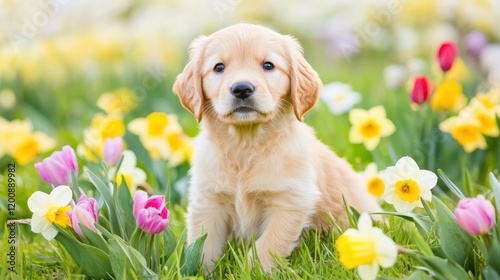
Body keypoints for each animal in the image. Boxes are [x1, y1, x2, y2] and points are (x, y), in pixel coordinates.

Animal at [174, 24, 380, 272]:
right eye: (219, 67)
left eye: (268, 65)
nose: (242, 89)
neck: (246, 145)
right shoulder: (208, 200)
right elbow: (203, 245)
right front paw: (197, 271)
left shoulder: (291, 200)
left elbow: (268, 245)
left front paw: (255, 270)